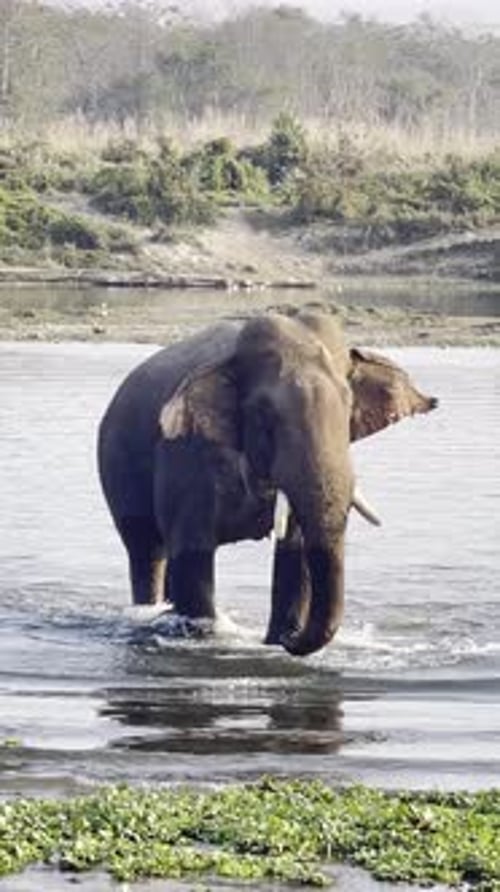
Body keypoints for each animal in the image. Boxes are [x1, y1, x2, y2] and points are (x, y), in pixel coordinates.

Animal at [98, 310, 437, 656]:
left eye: (348, 404)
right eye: (264, 414)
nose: (291, 639)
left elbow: (295, 554)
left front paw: (278, 638)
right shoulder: (184, 453)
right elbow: (193, 555)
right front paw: (209, 639)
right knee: (147, 551)